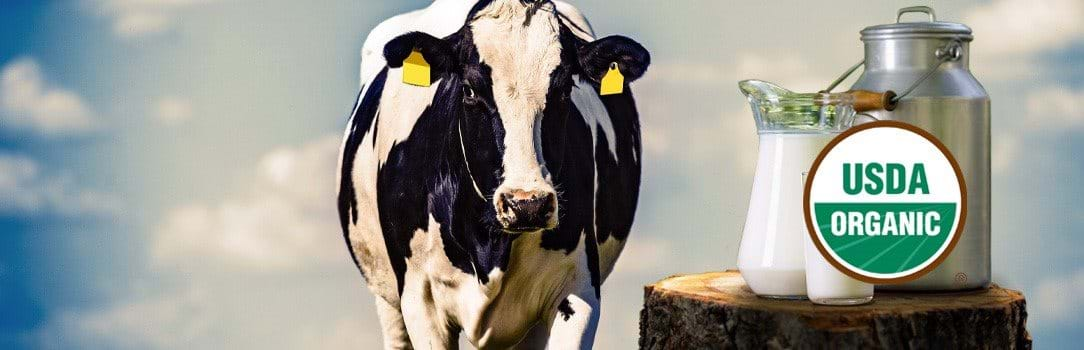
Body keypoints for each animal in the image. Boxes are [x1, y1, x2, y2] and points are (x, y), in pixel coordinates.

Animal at [333, 1, 646, 348]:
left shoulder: (577, 289)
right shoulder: (420, 300)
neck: (489, 245)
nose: (527, 204)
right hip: (388, 299)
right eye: (469, 90)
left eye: (565, 90)